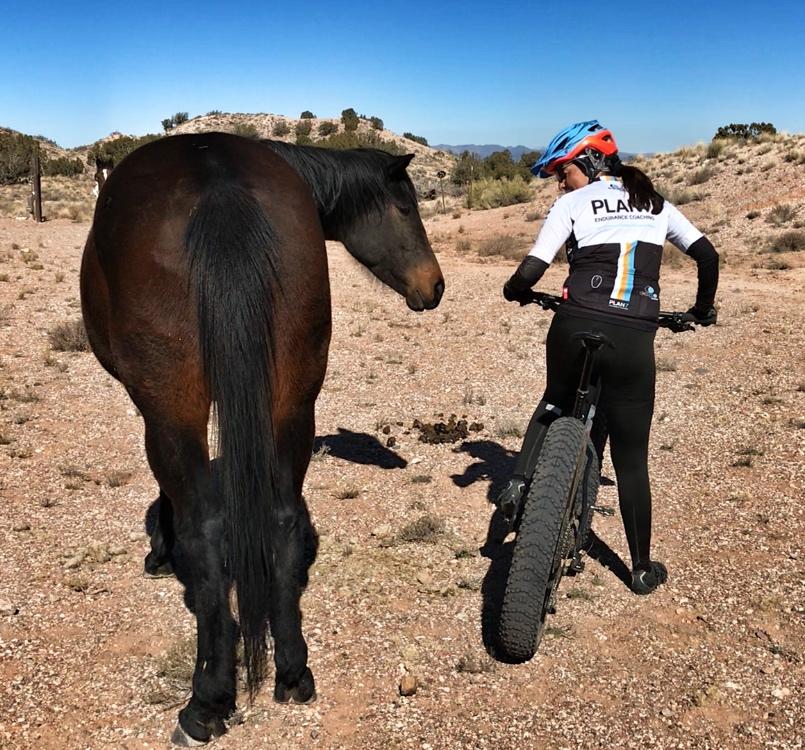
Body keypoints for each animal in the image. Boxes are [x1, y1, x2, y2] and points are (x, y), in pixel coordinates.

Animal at [80, 132, 444, 745]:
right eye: (405, 207)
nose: (435, 286)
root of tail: (219, 188)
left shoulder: (152, 409)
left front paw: (160, 550)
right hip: (293, 402)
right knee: (282, 517)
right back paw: (293, 671)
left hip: (173, 410)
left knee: (206, 530)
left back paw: (207, 701)